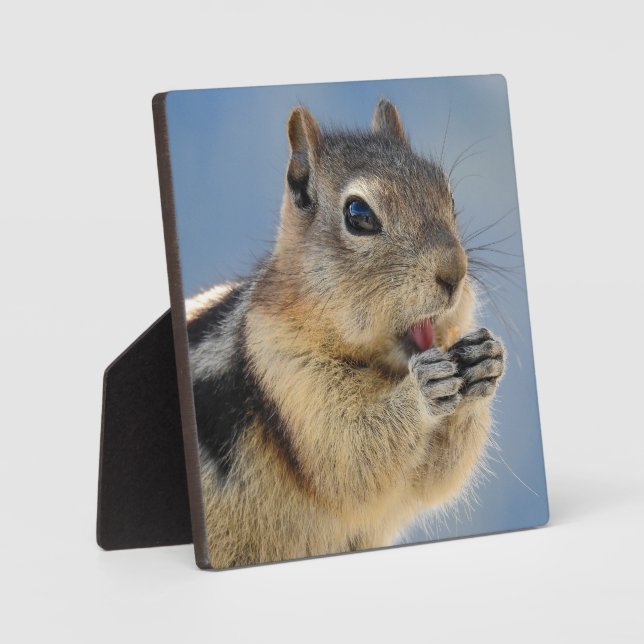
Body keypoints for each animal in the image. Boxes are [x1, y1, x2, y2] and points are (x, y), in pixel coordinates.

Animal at [186, 99, 506, 569]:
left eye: (447, 194)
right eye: (359, 215)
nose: (454, 272)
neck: (384, 367)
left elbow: (438, 473)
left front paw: (486, 360)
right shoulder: (287, 375)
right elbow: (350, 453)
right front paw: (423, 390)